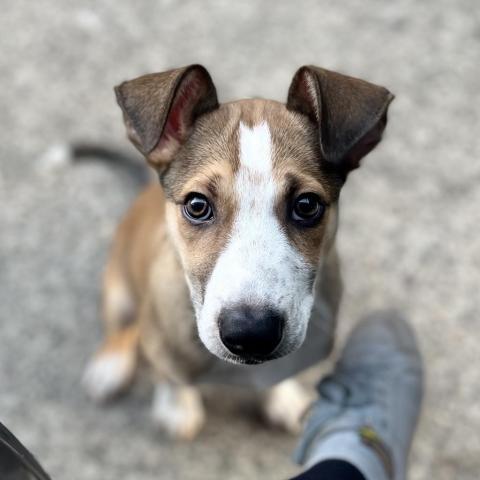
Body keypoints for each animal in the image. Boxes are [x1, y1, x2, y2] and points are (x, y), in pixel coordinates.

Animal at [80, 65, 392, 440]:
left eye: (307, 205)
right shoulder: (160, 336)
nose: (251, 334)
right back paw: (109, 366)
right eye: (197, 205)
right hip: (121, 290)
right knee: (122, 326)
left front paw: (283, 397)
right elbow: (170, 374)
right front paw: (177, 407)